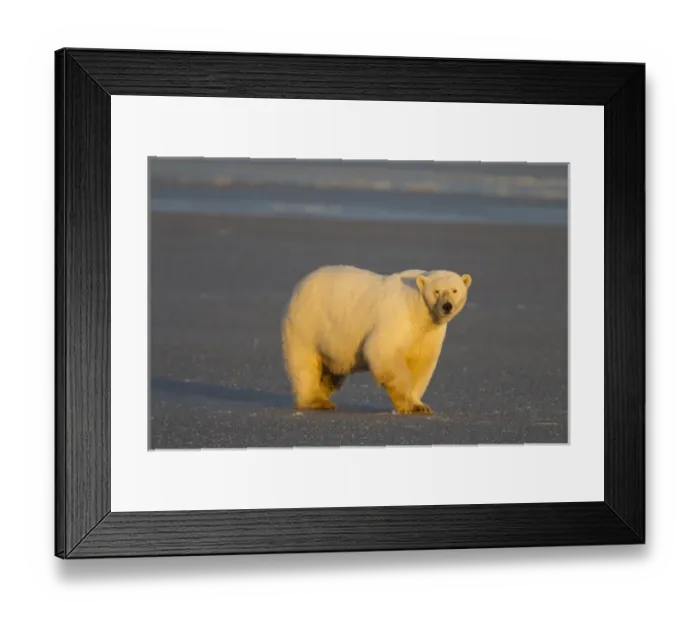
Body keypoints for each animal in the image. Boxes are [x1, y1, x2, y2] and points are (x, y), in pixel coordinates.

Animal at [281, 265, 472, 414]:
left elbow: (421, 364)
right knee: (304, 364)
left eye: (455, 290)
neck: (418, 308)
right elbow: (383, 351)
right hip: (307, 324)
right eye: (437, 291)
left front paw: (420, 405)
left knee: (332, 372)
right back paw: (316, 401)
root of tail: (300, 285)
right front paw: (408, 404)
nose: (447, 306)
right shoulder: (399, 317)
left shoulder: (429, 333)